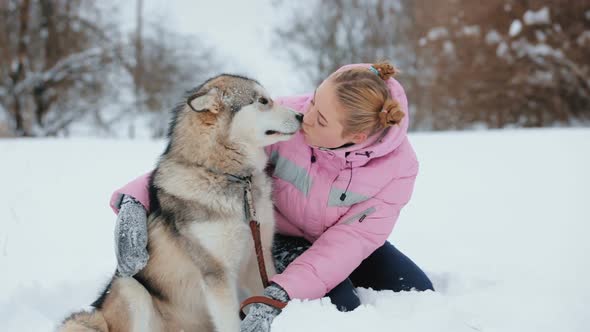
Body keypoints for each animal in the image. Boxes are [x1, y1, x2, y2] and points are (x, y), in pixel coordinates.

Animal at [60, 75, 302, 332]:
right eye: (263, 101)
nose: (300, 116)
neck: (230, 177)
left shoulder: (257, 257)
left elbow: (264, 295)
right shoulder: (216, 274)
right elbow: (230, 323)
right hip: (131, 289)